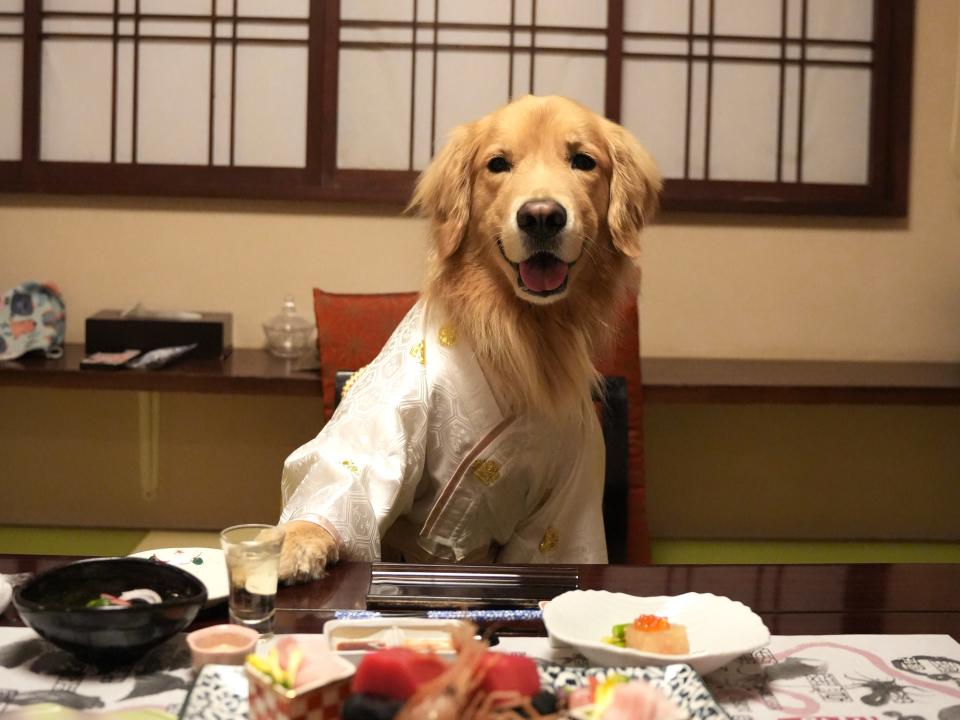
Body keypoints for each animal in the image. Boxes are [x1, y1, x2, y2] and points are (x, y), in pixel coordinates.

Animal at [274, 93, 656, 584]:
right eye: (498, 164)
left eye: (583, 161)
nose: (541, 217)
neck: (518, 333)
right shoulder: (386, 416)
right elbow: (344, 472)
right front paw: (298, 540)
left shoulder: (565, 503)